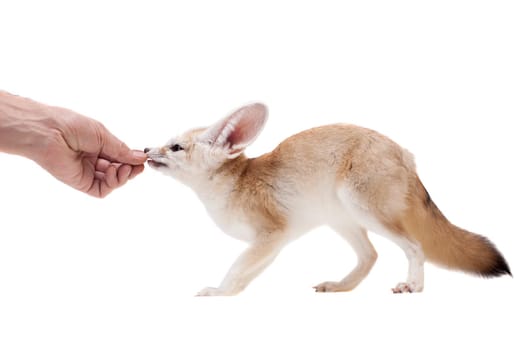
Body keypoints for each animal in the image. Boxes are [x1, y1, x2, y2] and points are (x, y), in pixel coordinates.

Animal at [143, 103, 508, 296]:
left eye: (175, 147)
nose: (145, 149)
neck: (236, 183)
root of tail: (405, 154)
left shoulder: (271, 235)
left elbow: (236, 269)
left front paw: (218, 293)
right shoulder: (271, 244)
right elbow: (246, 275)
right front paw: (230, 293)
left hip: (364, 209)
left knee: (414, 247)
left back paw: (413, 286)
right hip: (341, 220)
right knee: (370, 256)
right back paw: (341, 287)